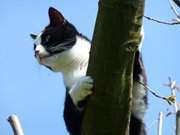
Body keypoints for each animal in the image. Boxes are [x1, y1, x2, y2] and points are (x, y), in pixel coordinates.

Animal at [30, 6, 147, 134]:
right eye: (34, 47)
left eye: (47, 38)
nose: (36, 52)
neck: (78, 64)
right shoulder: (72, 123)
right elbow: (70, 113)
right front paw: (81, 86)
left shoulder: (137, 106)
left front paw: (137, 37)